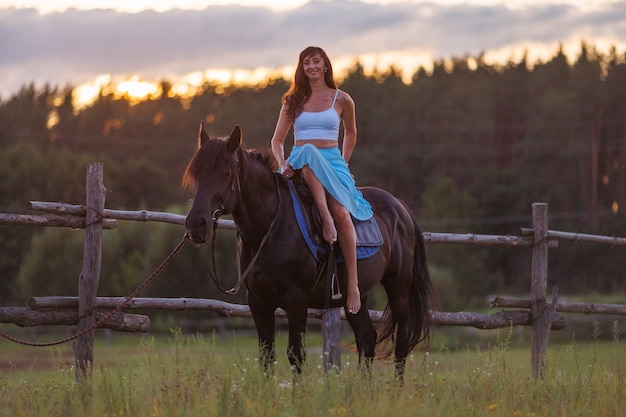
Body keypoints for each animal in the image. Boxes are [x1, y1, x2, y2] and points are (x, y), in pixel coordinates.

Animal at [183, 123, 432, 376]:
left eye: (225, 173)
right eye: (195, 173)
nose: (196, 224)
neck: (269, 228)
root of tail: (400, 208)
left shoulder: (296, 298)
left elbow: (296, 354)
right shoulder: (258, 301)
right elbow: (266, 355)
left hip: (398, 288)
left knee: (401, 342)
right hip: (355, 295)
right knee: (367, 338)